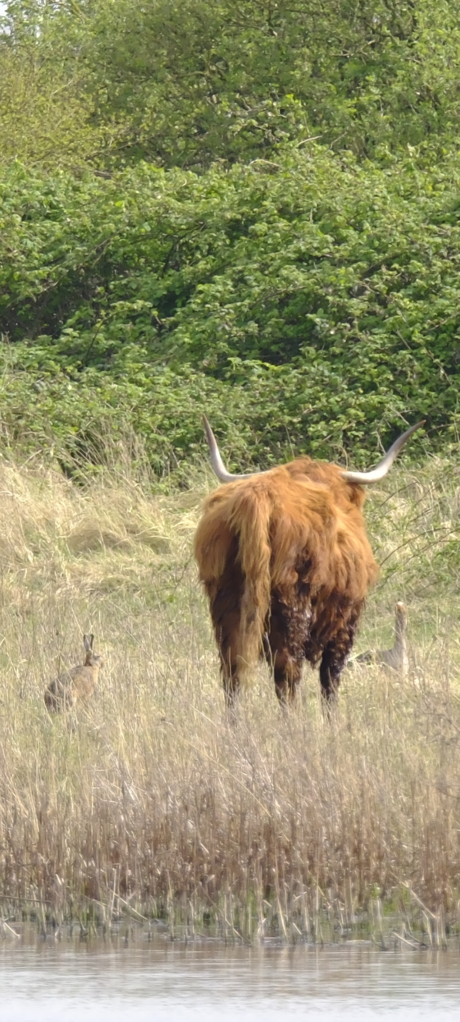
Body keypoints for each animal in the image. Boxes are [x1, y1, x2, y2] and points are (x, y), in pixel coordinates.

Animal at [194, 412, 423, 703]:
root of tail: (258, 498)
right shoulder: (345, 621)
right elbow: (330, 680)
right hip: (293, 607)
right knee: (287, 674)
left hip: (226, 608)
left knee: (231, 674)